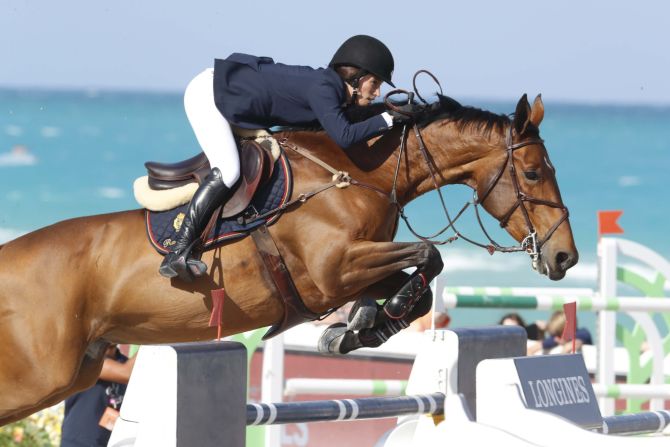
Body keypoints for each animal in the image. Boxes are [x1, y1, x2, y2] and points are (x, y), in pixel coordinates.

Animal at [0, 93, 576, 424]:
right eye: (532, 173)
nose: (565, 257)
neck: (356, 174)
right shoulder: (332, 272)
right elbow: (429, 256)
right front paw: (370, 321)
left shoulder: (353, 269)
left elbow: (418, 277)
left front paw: (359, 329)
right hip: (41, 376)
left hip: (77, 370)